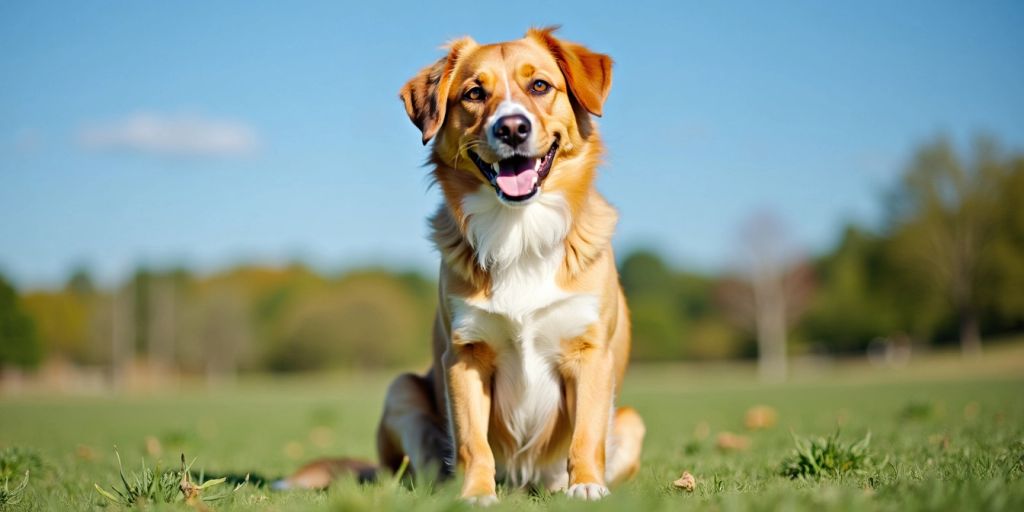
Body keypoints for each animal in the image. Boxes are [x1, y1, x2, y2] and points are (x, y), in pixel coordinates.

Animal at [376, 28, 647, 503]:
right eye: (474, 93)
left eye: (539, 85)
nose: (513, 128)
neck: (519, 229)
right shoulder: (464, 356)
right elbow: (472, 441)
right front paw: (476, 493)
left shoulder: (589, 352)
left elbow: (586, 435)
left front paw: (587, 486)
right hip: (401, 389)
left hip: (632, 421)